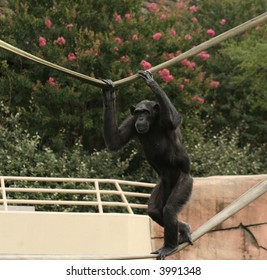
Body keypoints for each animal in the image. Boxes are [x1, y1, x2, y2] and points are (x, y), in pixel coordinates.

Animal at [102, 71, 193, 260]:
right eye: (137, 112)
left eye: (145, 111)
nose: (141, 118)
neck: (152, 124)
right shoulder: (132, 122)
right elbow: (115, 140)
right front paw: (109, 94)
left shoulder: (165, 121)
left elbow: (173, 120)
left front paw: (152, 83)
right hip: (163, 184)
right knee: (154, 211)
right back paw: (184, 230)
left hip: (185, 181)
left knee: (170, 209)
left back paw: (169, 246)